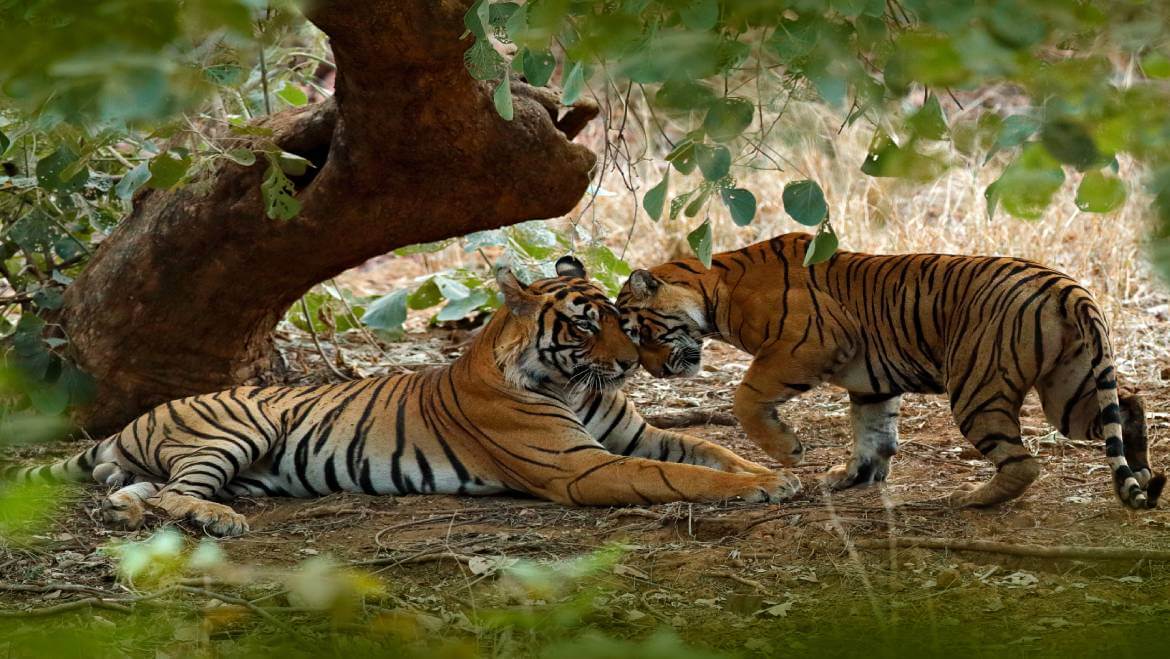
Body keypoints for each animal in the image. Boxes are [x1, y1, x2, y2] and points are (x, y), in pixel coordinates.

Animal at [2, 257, 797, 536]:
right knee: (172, 492)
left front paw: (776, 473)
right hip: (231, 428)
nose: (630, 363)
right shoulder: (584, 466)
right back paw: (217, 519)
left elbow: (707, 446)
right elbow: (678, 474)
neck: (573, 385)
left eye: (622, 320)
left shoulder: (637, 435)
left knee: (134, 490)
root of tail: (136, 418)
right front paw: (762, 487)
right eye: (582, 324)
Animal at [617, 232, 1164, 510]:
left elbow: (746, 398)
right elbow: (872, 433)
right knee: (1129, 403)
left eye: (640, 332)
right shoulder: (871, 383)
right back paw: (1141, 471)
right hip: (1067, 390)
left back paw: (970, 499)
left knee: (1024, 463)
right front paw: (852, 477)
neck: (714, 288)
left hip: (977, 387)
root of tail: (1065, 285)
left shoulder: (807, 343)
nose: (653, 373)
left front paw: (789, 452)